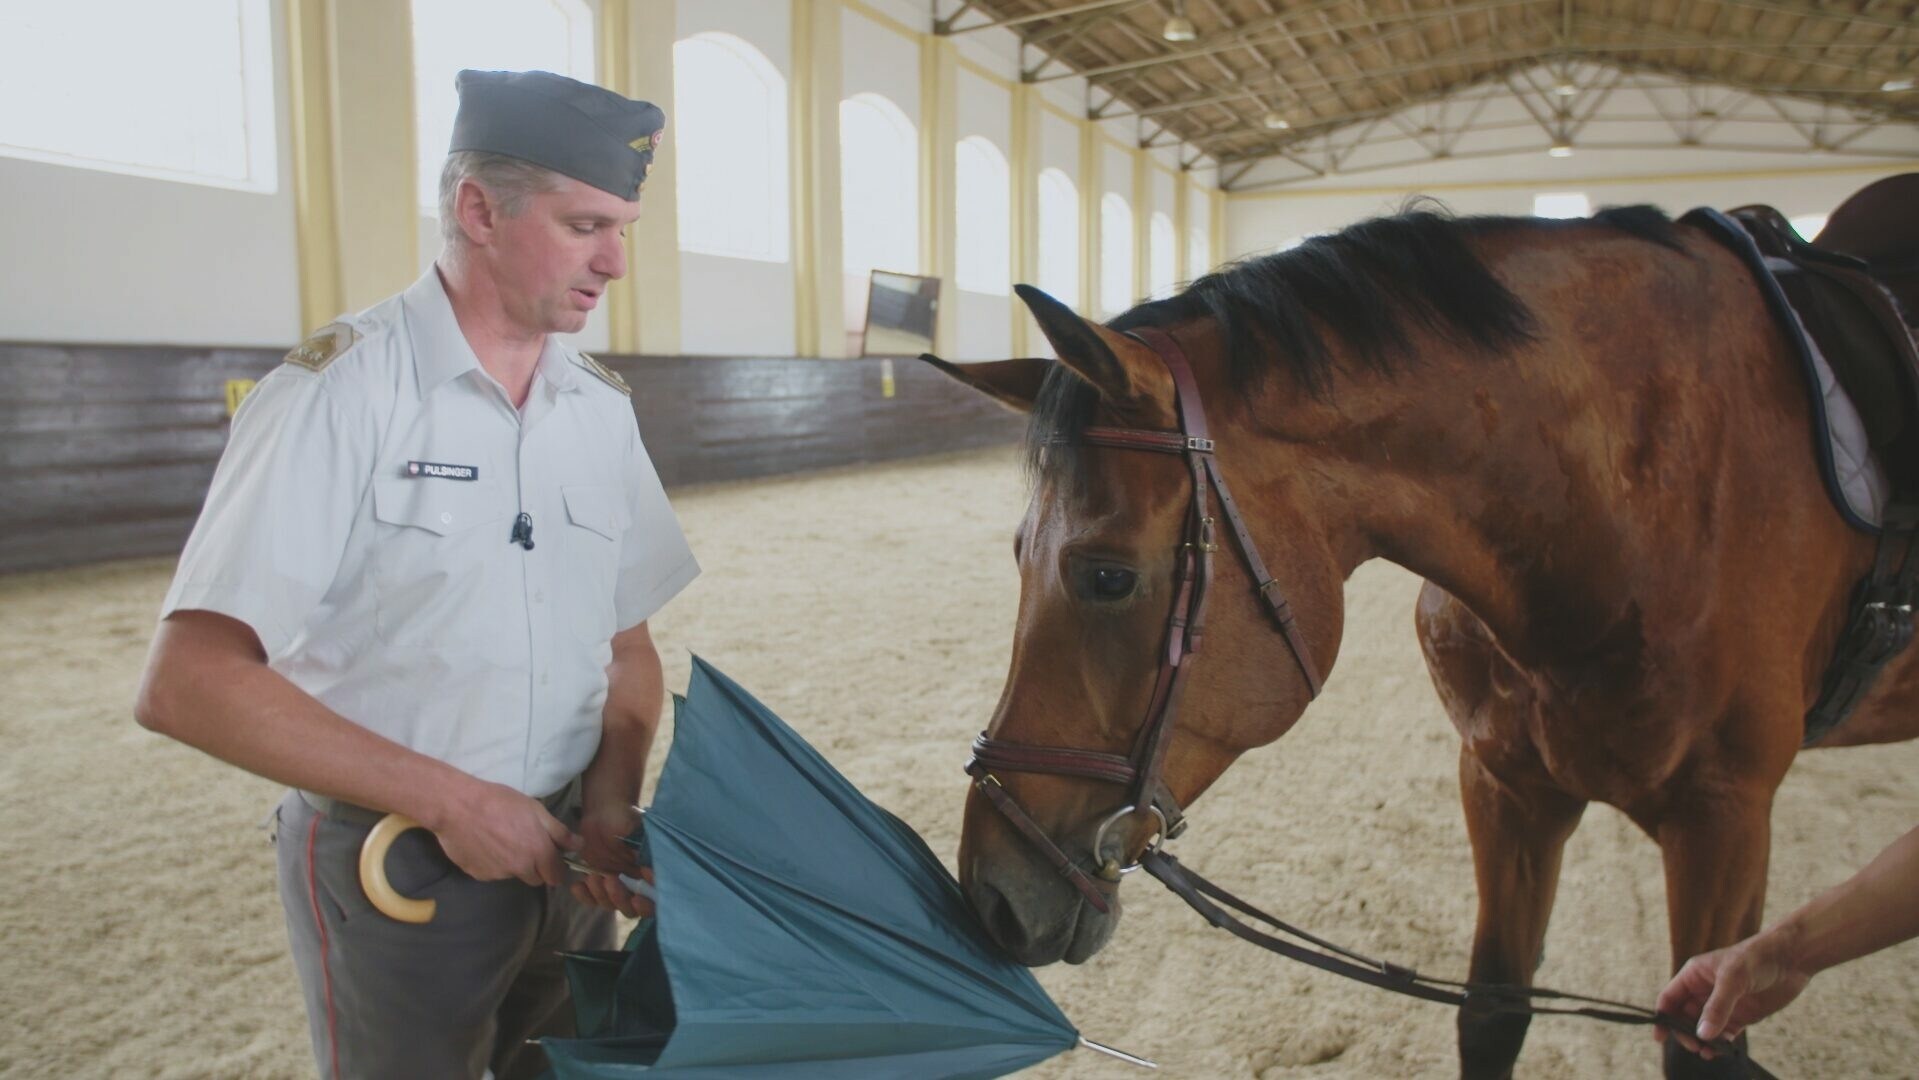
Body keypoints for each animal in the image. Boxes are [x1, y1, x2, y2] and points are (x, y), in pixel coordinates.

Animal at [924, 198, 1919, 1074]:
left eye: (1106, 575)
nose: (990, 897)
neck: (1634, 493)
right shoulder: (1507, 786)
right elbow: (1493, 1014)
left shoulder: (1723, 819)